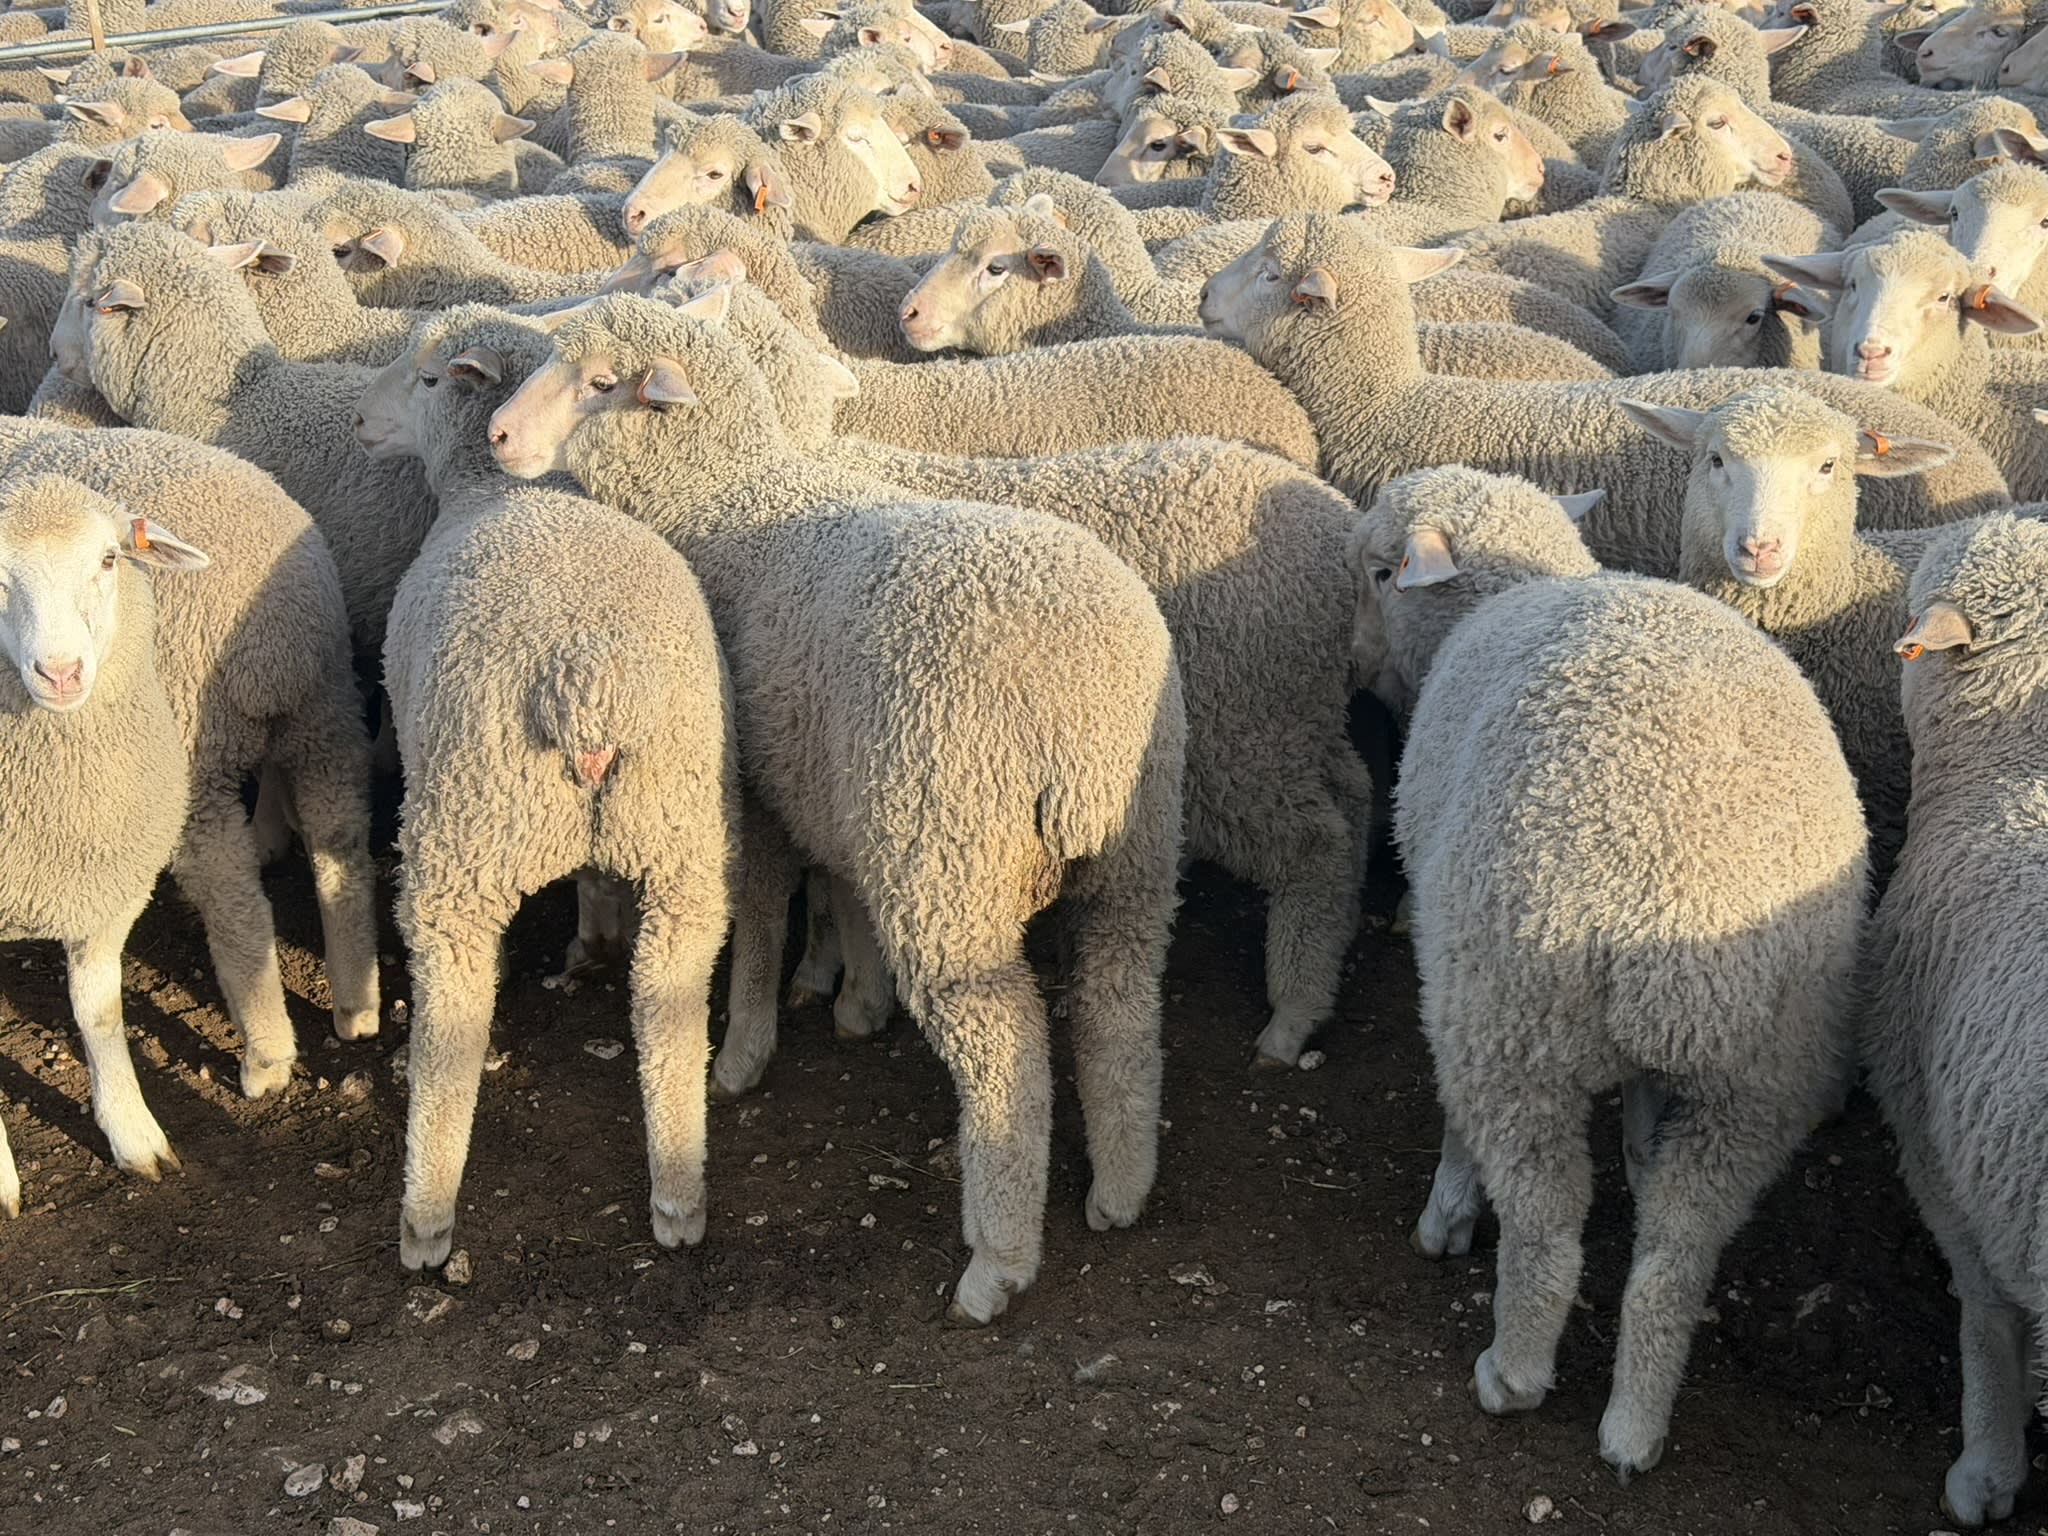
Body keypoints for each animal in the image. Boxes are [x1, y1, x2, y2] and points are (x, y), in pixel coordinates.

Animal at [0, 415, 382, 1069]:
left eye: (108, 560)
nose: (60, 674)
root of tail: (276, 633)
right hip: (324, 710)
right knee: (341, 840)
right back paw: (357, 1006)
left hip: (196, 744)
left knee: (227, 883)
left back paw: (266, 1054)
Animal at [357, 306, 740, 1268]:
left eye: (426, 378)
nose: (359, 419)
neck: (493, 491)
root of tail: (585, 680)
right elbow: (597, 881)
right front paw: (592, 937)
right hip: (683, 839)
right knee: (668, 1011)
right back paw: (678, 1199)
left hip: (465, 834)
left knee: (453, 1021)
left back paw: (426, 1219)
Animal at [487, 289, 1187, 1324]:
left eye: (602, 382)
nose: (495, 436)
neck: (720, 495)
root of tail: (1081, 722)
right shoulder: (840, 785)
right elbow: (842, 894)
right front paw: (858, 1002)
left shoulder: (754, 788)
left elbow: (763, 920)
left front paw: (741, 1056)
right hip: (1130, 856)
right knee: (1121, 1009)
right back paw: (1121, 1191)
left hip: (950, 856)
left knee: (1006, 1051)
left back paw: (996, 1263)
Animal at [1352, 463, 1866, 1479]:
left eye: (1384, 573)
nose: (1353, 659)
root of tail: (1673, 916)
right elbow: (1639, 1124)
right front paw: (1633, 1147)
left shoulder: (1454, 967)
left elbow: (1460, 1124)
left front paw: (1448, 1213)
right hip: (1758, 1079)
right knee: (1676, 1248)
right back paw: (1635, 1424)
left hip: (1517, 1019)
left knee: (1548, 1221)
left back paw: (1511, 1371)